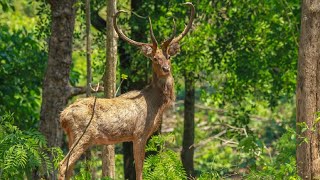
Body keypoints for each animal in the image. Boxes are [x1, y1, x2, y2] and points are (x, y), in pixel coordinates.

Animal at [57, 2, 195, 179]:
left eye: (168, 57)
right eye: (155, 58)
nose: (166, 69)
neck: (157, 104)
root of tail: (63, 116)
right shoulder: (139, 133)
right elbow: (139, 170)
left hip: (72, 136)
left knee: (69, 167)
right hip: (83, 134)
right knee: (62, 165)